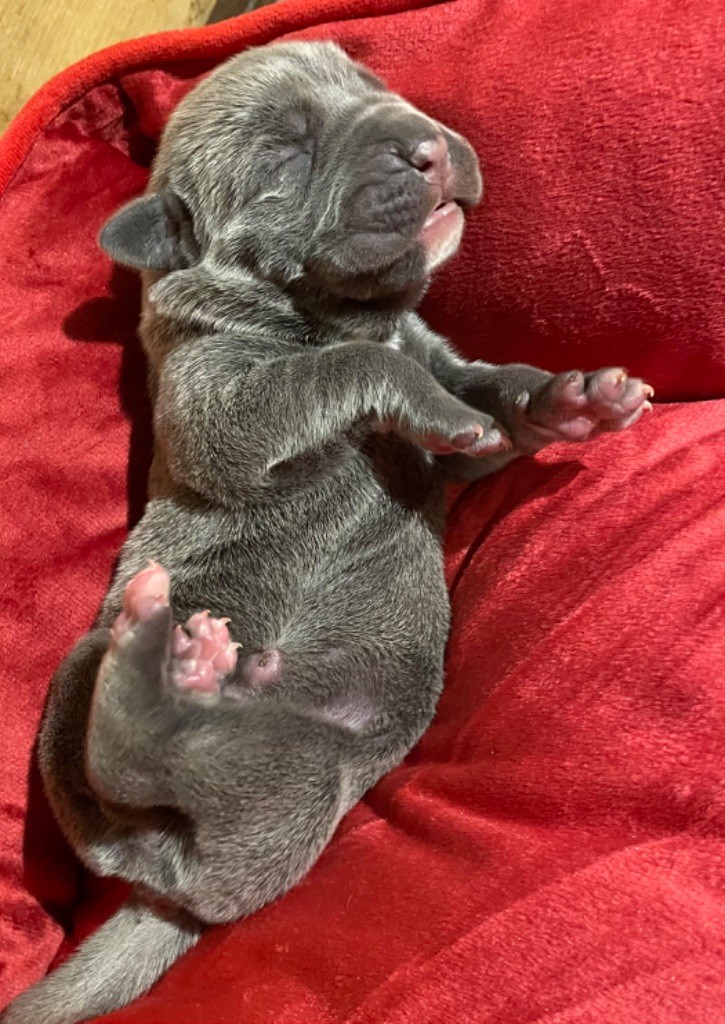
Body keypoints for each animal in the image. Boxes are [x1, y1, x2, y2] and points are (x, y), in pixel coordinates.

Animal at [2, 40, 652, 1024]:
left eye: (373, 86)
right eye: (286, 155)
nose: (425, 146)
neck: (342, 309)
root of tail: (169, 899)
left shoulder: (443, 389)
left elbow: (486, 398)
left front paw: (570, 401)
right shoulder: (218, 398)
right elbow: (344, 368)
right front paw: (412, 388)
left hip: (297, 778)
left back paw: (188, 675)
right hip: (132, 711)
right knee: (123, 774)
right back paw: (161, 651)